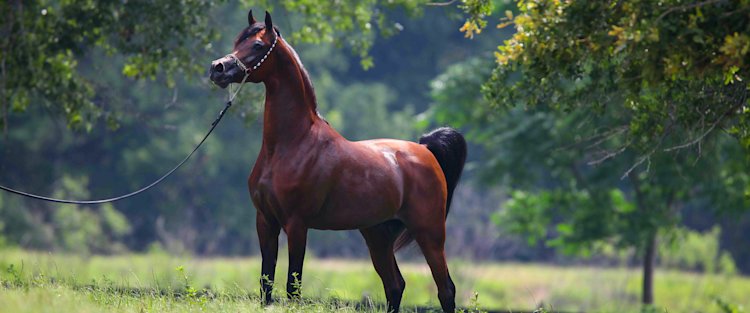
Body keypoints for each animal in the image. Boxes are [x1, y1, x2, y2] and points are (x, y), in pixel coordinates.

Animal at [206, 10, 464, 312]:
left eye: (258, 45)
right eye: (238, 41)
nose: (217, 68)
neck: (288, 145)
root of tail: (425, 151)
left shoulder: (297, 224)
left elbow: (293, 286)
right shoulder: (265, 221)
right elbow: (265, 284)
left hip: (429, 233)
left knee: (445, 289)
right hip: (377, 235)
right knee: (395, 286)